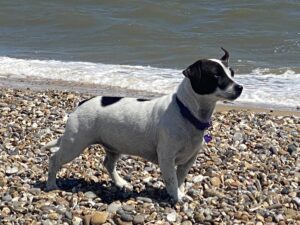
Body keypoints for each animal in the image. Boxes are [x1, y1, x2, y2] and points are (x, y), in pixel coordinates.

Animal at [43, 48, 243, 202]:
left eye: (232, 73)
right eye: (216, 75)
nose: (240, 87)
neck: (186, 111)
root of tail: (82, 103)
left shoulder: (188, 160)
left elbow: (180, 178)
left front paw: (179, 192)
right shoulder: (166, 159)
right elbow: (172, 180)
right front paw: (176, 197)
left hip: (113, 146)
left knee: (108, 164)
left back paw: (120, 182)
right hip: (74, 145)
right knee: (54, 159)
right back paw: (51, 184)